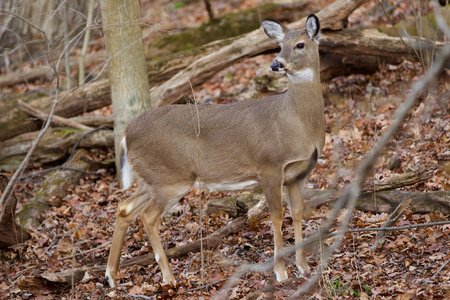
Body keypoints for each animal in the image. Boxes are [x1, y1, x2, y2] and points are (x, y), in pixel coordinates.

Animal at [104, 14, 324, 288]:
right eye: (279, 45)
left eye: (300, 44)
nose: (276, 64)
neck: (297, 122)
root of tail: (126, 134)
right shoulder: (269, 166)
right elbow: (276, 215)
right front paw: (281, 273)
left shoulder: (299, 173)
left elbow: (297, 213)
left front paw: (304, 267)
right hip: (172, 178)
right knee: (147, 216)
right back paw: (169, 277)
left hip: (153, 177)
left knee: (125, 207)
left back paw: (111, 276)